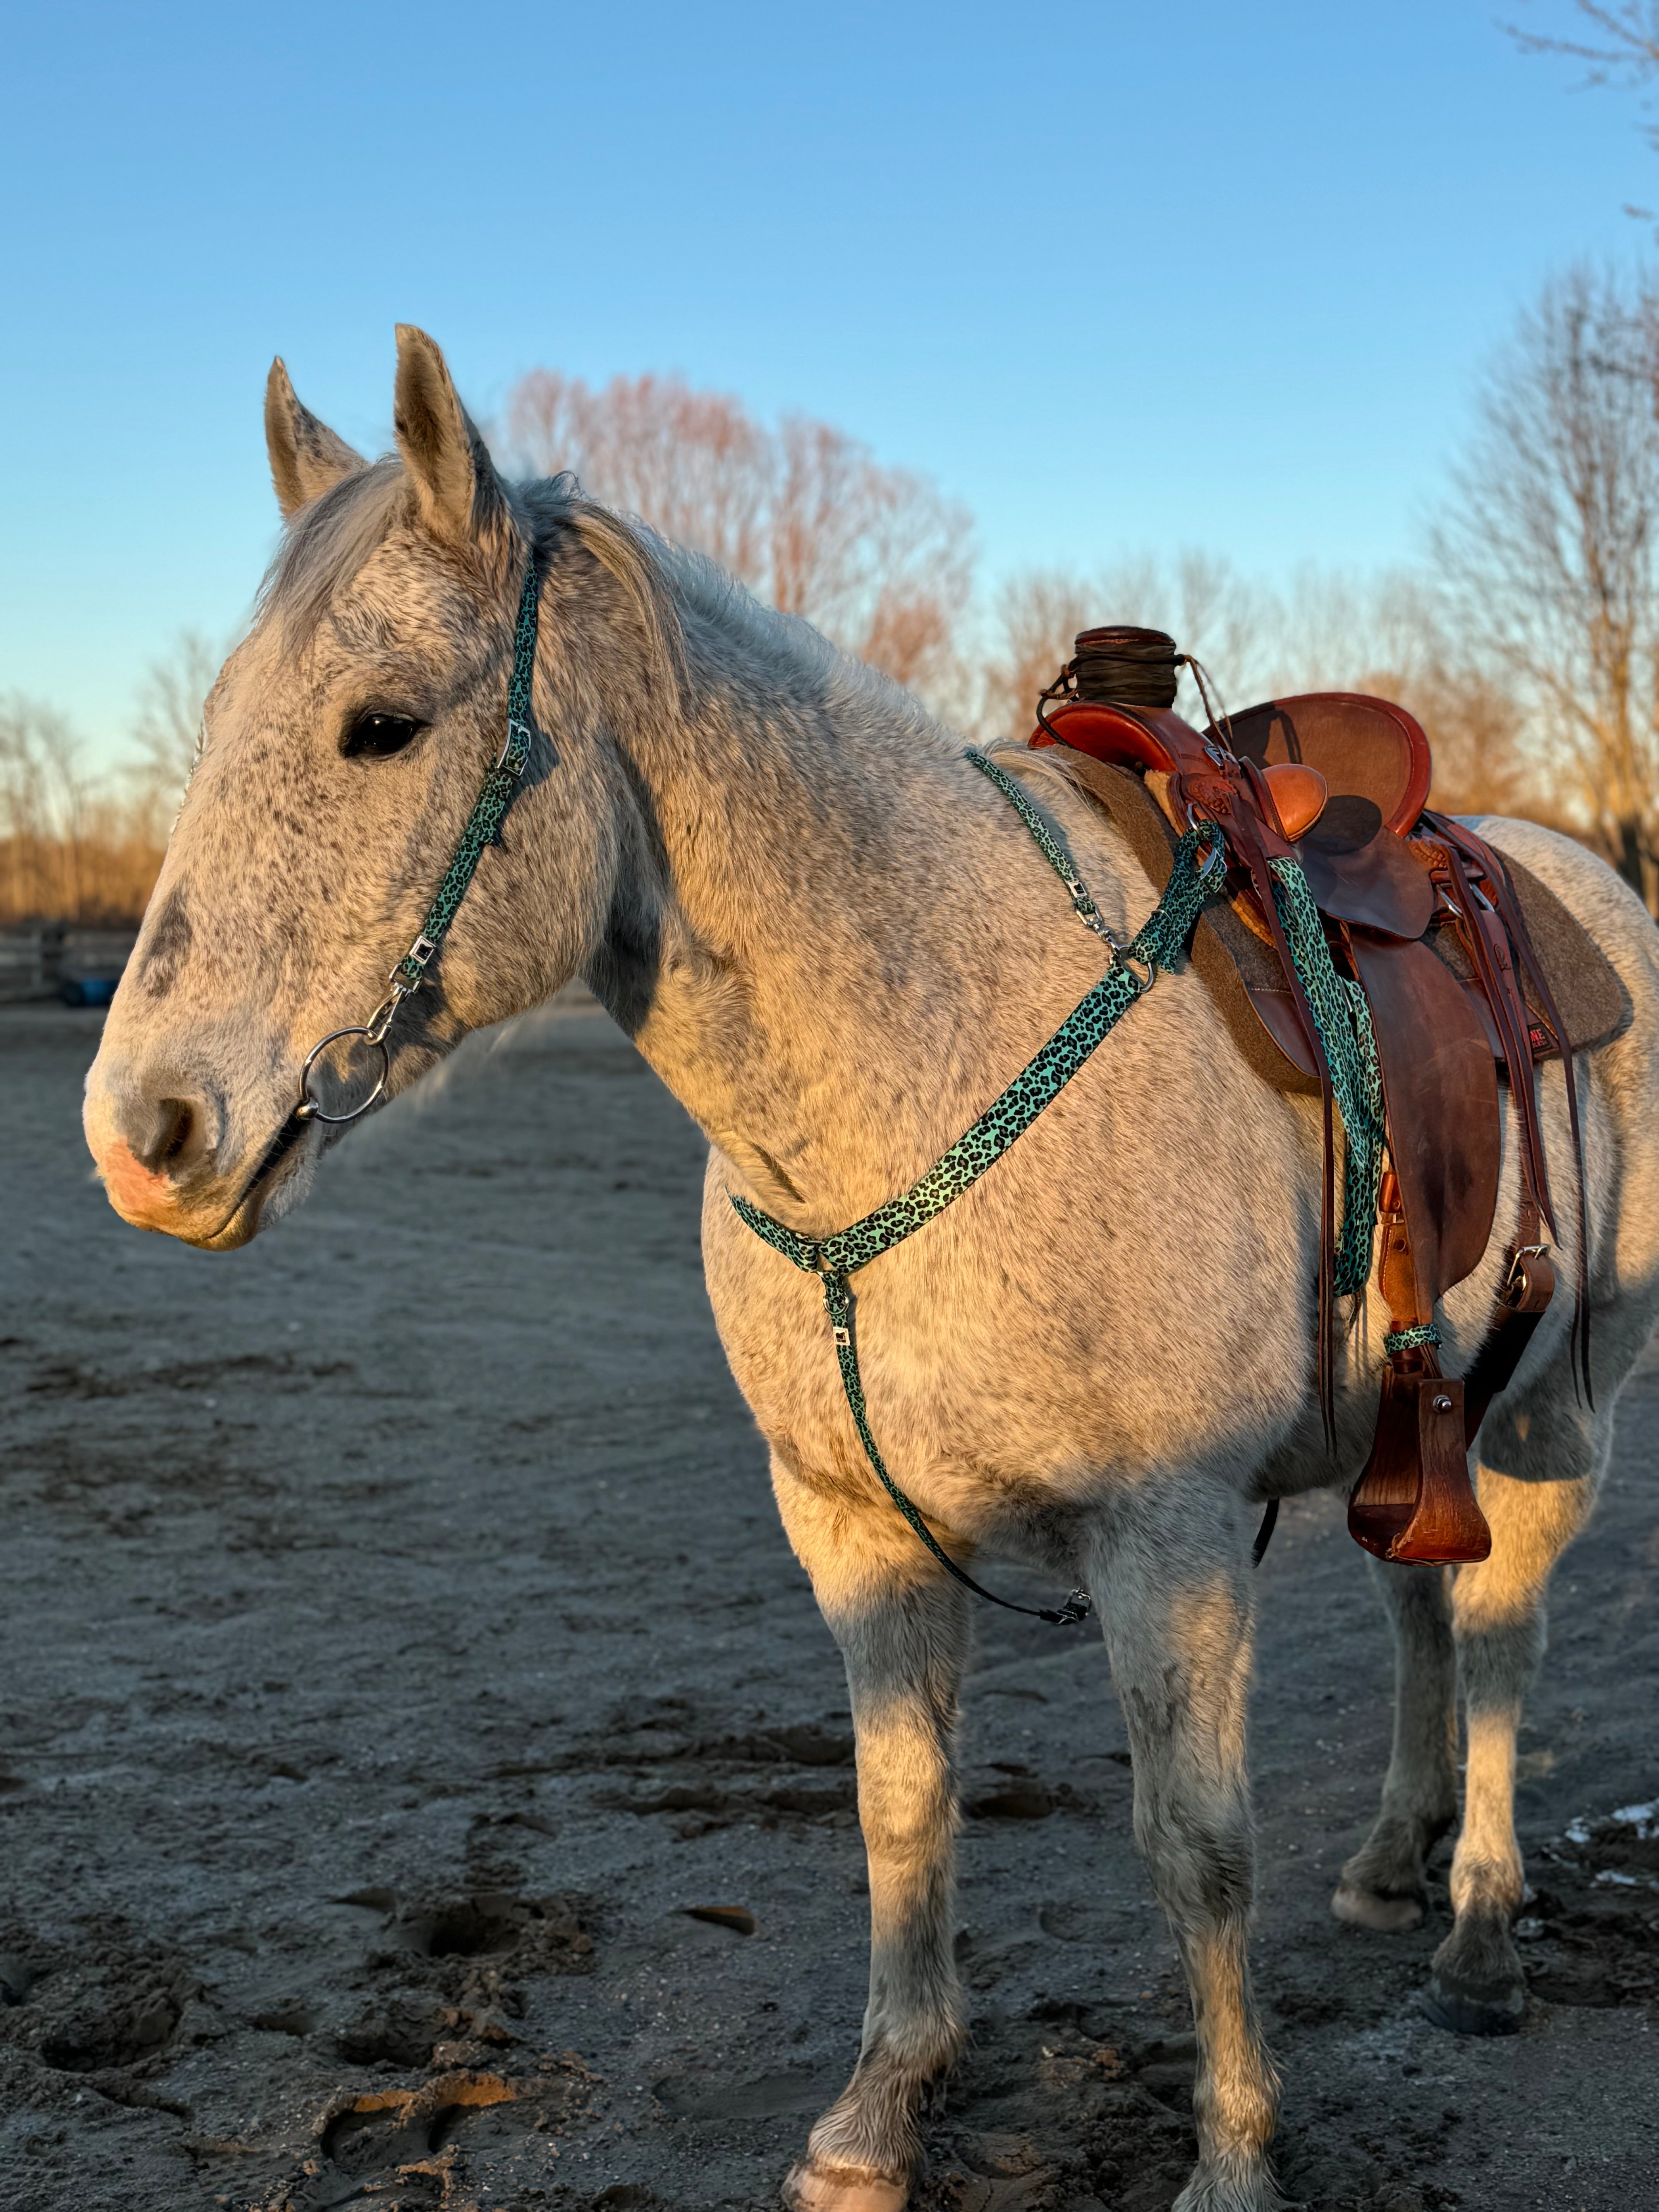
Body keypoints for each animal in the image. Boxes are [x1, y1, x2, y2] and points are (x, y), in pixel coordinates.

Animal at [84, 327, 1659, 2212]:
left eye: (379, 726)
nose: (145, 1129)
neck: (922, 1051)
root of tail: (1573, 872)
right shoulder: (846, 1526)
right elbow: (900, 1810)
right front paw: (877, 2112)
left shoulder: (1170, 1532)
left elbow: (1195, 1842)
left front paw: (1232, 2148)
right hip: (1416, 1420)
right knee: (1430, 1606)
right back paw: (1391, 1859)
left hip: (1551, 1412)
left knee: (1499, 1638)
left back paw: (1480, 1931)